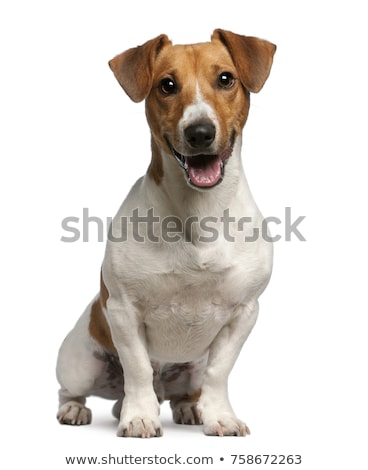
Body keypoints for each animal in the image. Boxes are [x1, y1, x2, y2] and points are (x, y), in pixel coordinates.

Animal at [56, 29, 276, 436]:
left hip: (190, 369)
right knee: (73, 389)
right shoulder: (123, 310)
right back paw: (77, 410)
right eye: (167, 85)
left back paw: (190, 408)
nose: (200, 132)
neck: (199, 213)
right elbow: (138, 369)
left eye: (226, 79)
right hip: (81, 363)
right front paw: (140, 417)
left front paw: (220, 417)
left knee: (184, 391)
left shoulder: (243, 313)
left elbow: (219, 373)